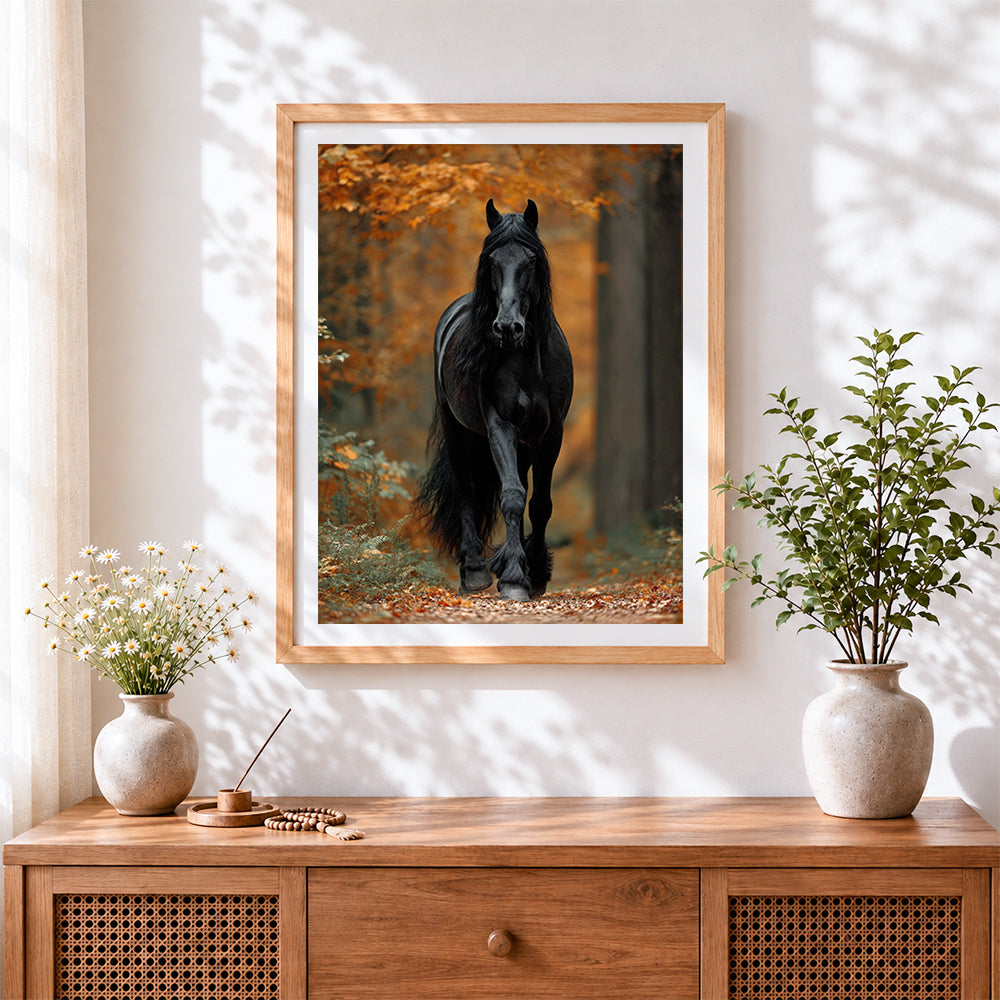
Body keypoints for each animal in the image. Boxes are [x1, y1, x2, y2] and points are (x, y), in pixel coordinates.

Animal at [415, 199, 574, 602]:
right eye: (491, 261)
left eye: (530, 261)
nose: (506, 327)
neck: (527, 361)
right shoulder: (500, 425)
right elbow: (512, 497)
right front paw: (515, 578)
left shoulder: (551, 434)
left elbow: (540, 502)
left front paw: (535, 574)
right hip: (458, 431)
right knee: (467, 491)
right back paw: (474, 571)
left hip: (524, 444)